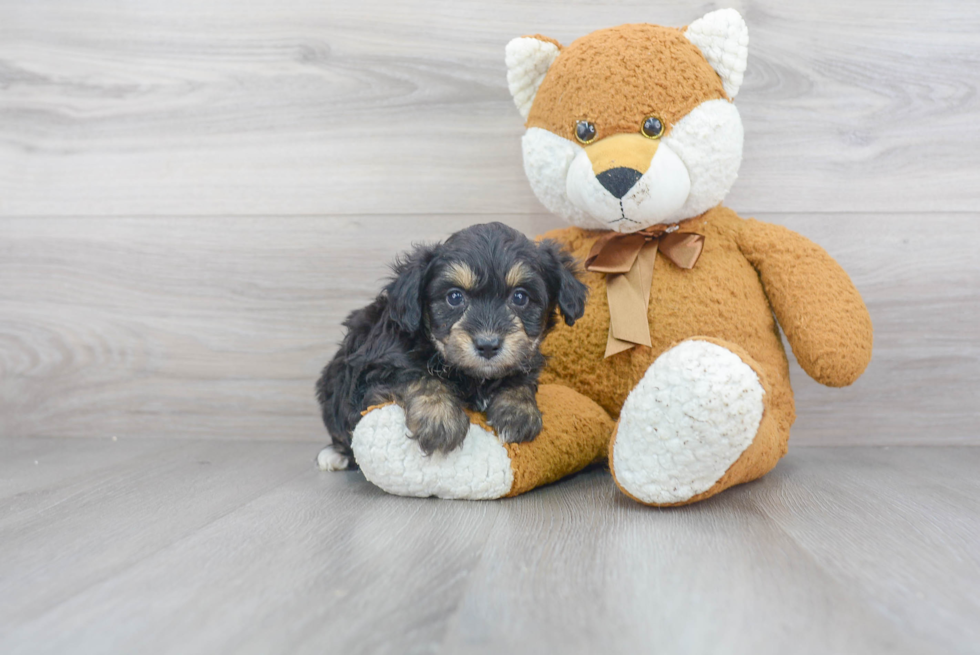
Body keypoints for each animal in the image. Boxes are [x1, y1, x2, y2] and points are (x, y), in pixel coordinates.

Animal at [318, 223, 584, 468]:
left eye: (520, 297)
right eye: (454, 297)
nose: (488, 345)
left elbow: (520, 378)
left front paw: (518, 412)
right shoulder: (373, 374)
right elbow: (418, 376)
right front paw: (439, 420)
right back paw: (334, 455)